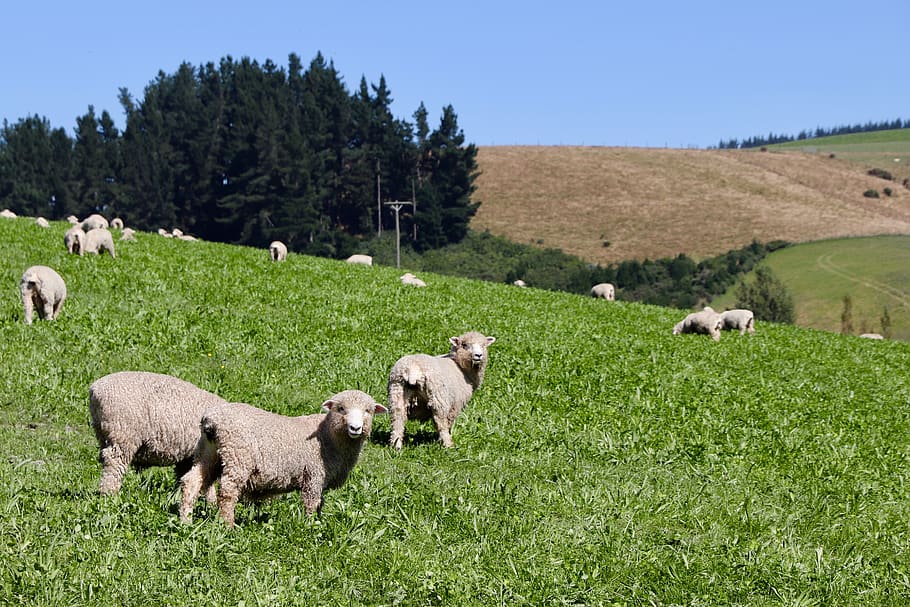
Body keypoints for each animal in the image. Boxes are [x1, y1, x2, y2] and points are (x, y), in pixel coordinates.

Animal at [89, 371, 228, 495]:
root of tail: (94, 390)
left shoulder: (188, 457)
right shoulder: (204, 454)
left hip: (104, 434)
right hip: (122, 435)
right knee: (113, 462)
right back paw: (108, 494)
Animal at [178, 390, 387, 528]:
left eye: (368, 411)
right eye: (341, 408)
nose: (355, 428)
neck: (328, 435)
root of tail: (211, 420)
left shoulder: (321, 479)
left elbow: (320, 503)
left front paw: (318, 522)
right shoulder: (314, 475)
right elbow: (312, 502)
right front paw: (309, 526)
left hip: (207, 453)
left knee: (192, 481)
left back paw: (185, 521)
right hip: (238, 457)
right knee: (228, 492)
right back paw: (228, 525)